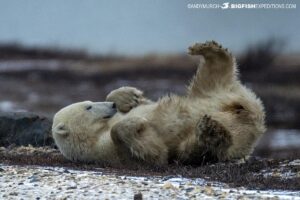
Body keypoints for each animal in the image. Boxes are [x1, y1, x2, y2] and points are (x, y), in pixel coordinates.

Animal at [52, 41, 266, 166]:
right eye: (88, 107)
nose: (111, 108)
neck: (95, 134)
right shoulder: (107, 152)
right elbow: (155, 154)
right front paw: (136, 122)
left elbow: (140, 103)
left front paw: (127, 98)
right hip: (222, 136)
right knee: (198, 148)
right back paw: (211, 130)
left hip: (216, 94)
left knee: (211, 77)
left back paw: (208, 48)